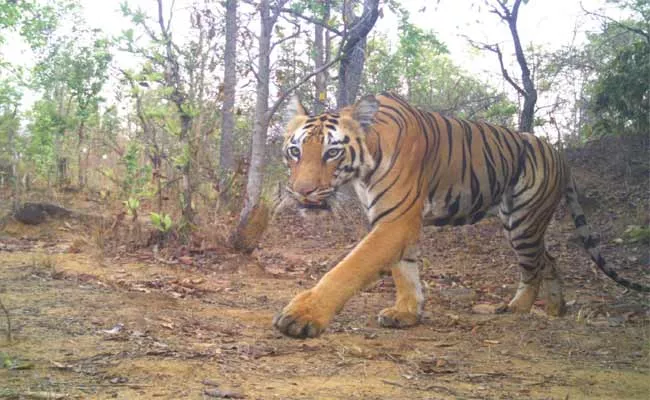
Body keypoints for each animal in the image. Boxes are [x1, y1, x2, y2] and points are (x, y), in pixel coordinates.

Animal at [270, 93, 644, 338]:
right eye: (295, 151)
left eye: (332, 153)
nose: (302, 191)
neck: (364, 166)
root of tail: (559, 153)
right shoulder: (391, 219)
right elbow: (405, 270)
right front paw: (407, 313)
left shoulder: (396, 220)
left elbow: (349, 268)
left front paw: (302, 315)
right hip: (523, 223)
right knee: (550, 260)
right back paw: (556, 310)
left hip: (524, 220)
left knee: (536, 265)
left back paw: (518, 308)